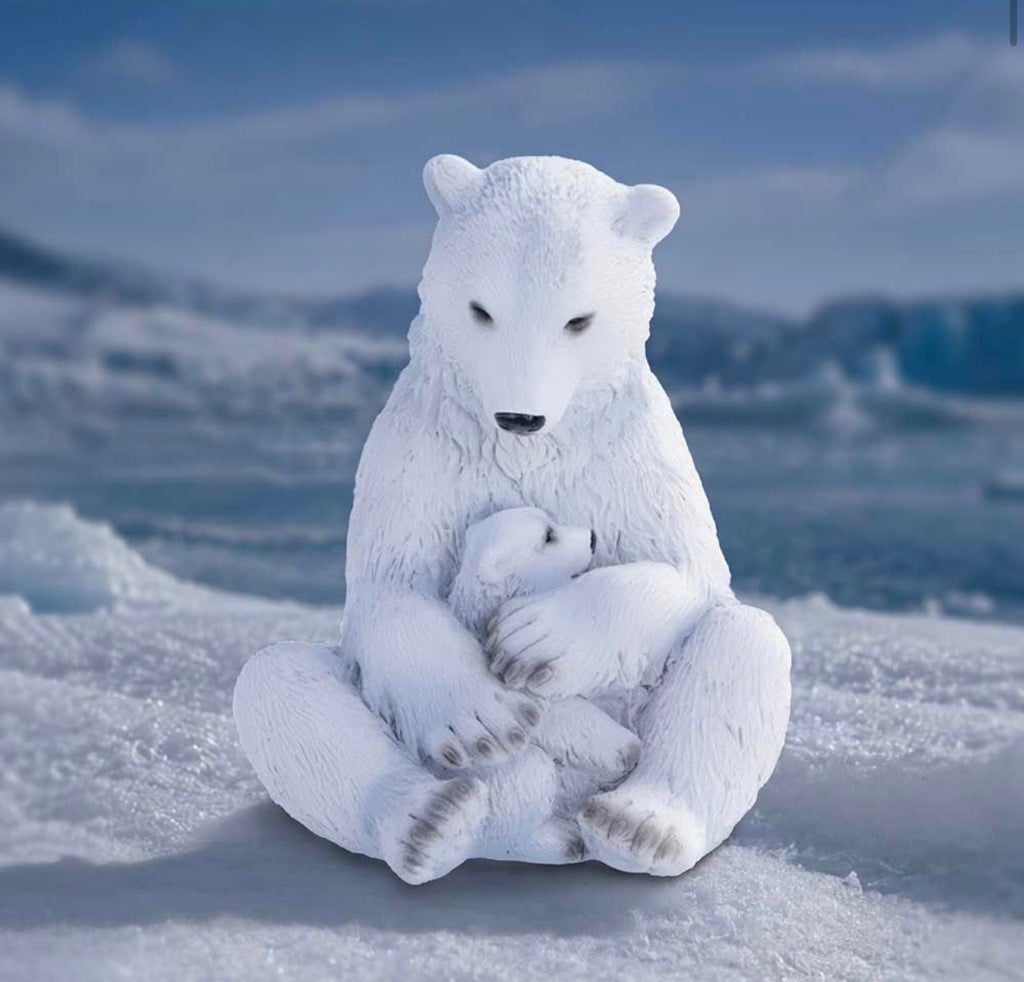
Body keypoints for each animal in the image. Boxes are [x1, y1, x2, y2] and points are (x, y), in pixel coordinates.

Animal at [233, 153, 792, 886]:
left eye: (579, 320)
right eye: (481, 310)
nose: (519, 417)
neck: (530, 450)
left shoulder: (634, 452)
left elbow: (693, 568)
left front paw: (538, 640)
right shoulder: (420, 449)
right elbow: (391, 584)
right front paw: (484, 723)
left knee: (745, 644)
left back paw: (637, 826)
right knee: (276, 683)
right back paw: (434, 820)